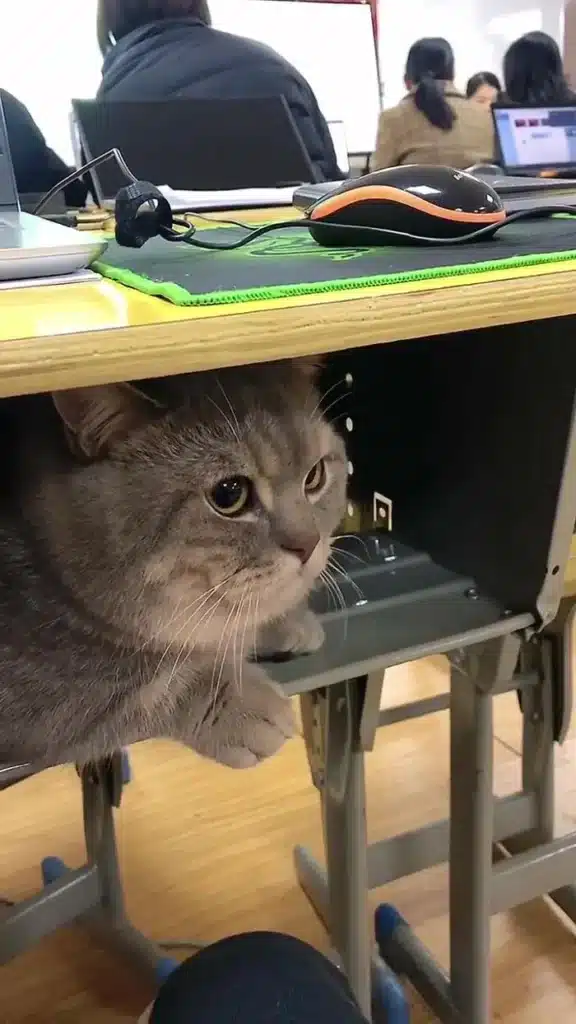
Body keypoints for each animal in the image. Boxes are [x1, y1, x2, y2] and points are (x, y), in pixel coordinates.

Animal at [0, 360, 344, 770]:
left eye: (315, 476)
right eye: (229, 494)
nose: (309, 544)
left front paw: (283, 621)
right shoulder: (43, 698)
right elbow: (130, 691)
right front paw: (240, 704)